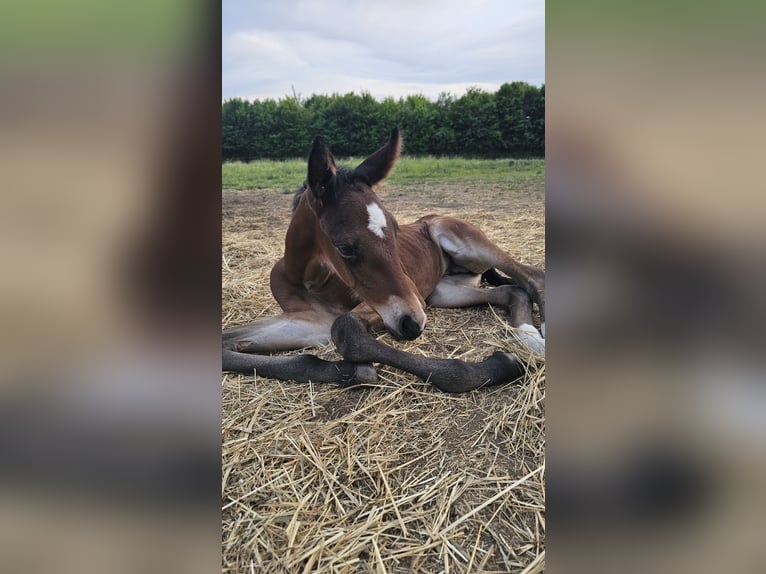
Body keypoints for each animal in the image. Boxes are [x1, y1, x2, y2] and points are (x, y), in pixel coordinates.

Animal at [222, 128, 545, 393]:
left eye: (396, 229)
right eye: (345, 247)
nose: (414, 322)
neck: (305, 279)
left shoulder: (386, 306)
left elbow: (345, 329)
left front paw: (501, 363)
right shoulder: (306, 322)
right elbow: (228, 344)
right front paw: (353, 371)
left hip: (467, 247)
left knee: (533, 277)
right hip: (444, 292)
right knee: (511, 291)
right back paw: (529, 336)